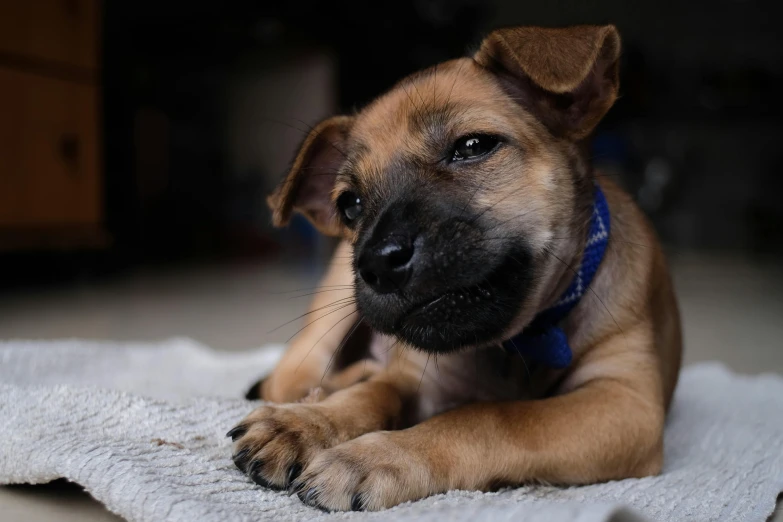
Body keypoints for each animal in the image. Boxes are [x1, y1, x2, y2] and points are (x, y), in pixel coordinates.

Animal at [227, 24, 680, 508]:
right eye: (350, 205)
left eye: (473, 146)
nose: (378, 263)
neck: (515, 344)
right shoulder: (416, 375)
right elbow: (373, 393)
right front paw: (305, 423)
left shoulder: (624, 402)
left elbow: (488, 417)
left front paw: (370, 457)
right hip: (328, 318)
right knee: (291, 380)